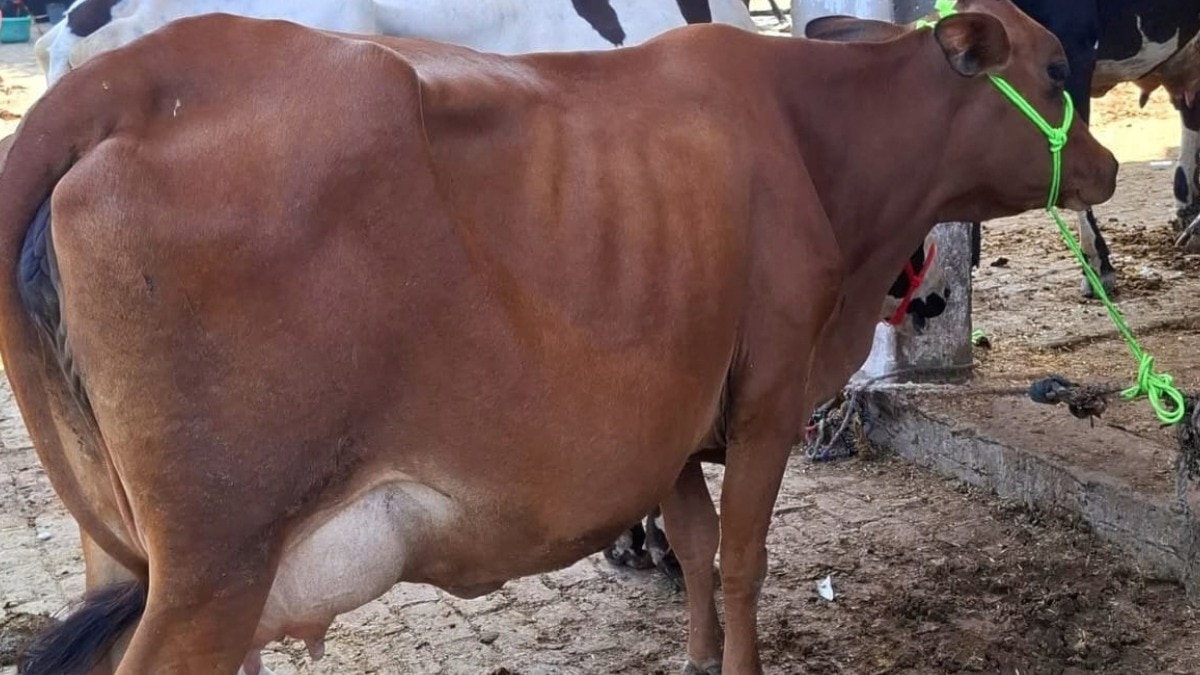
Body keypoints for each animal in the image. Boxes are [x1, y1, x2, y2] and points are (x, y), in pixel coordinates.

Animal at [1, 2, 1116, 672]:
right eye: (1059, 65)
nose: (1105, 167)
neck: (814, 141)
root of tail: (137, 78)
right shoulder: (766, 397)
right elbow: (743, 557)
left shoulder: (672, 415)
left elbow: (696, 545)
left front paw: (694, 654)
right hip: (214, 569)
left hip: (134, 557)